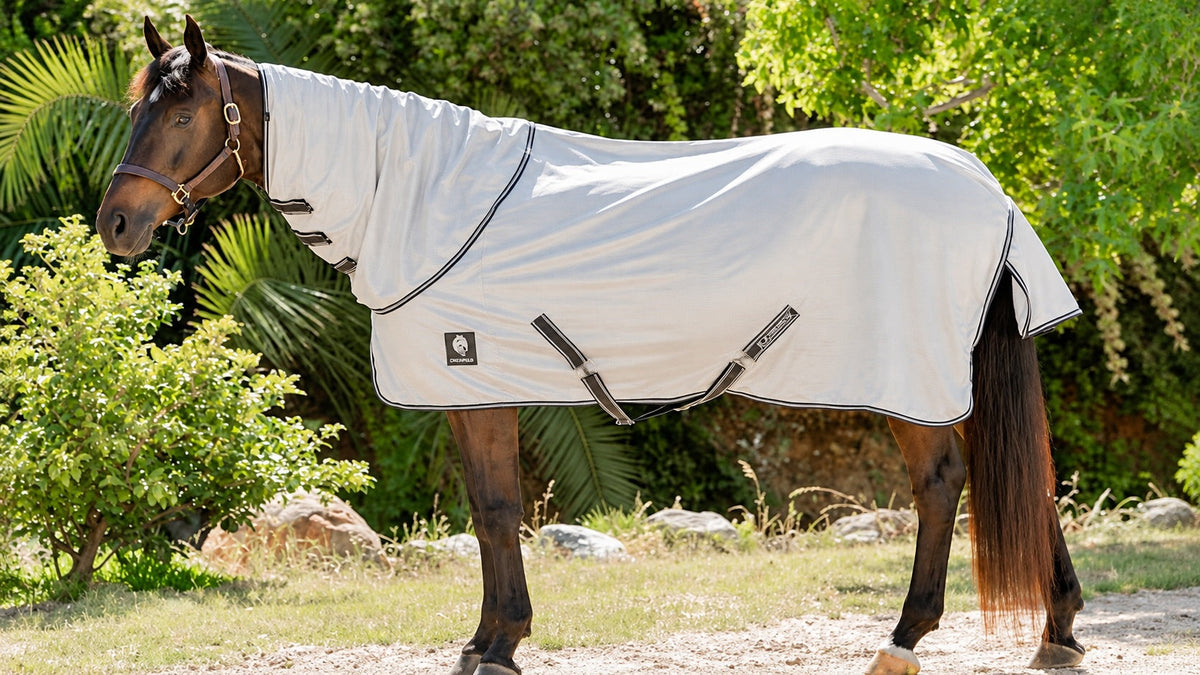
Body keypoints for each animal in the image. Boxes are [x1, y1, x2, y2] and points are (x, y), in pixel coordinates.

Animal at [95, 16, 1087, 675]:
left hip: (909, 374)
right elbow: (491, 511)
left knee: (944, 482)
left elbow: (496, 511)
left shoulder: (472, 381)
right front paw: (490, 637)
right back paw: (1059, 632)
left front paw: (497, 644)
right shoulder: (475, 390)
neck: (416, 197)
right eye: (141, 109)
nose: (116, 225)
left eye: (182, 116)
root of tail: (986, 188)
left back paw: (907, 636)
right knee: (1021, 473)